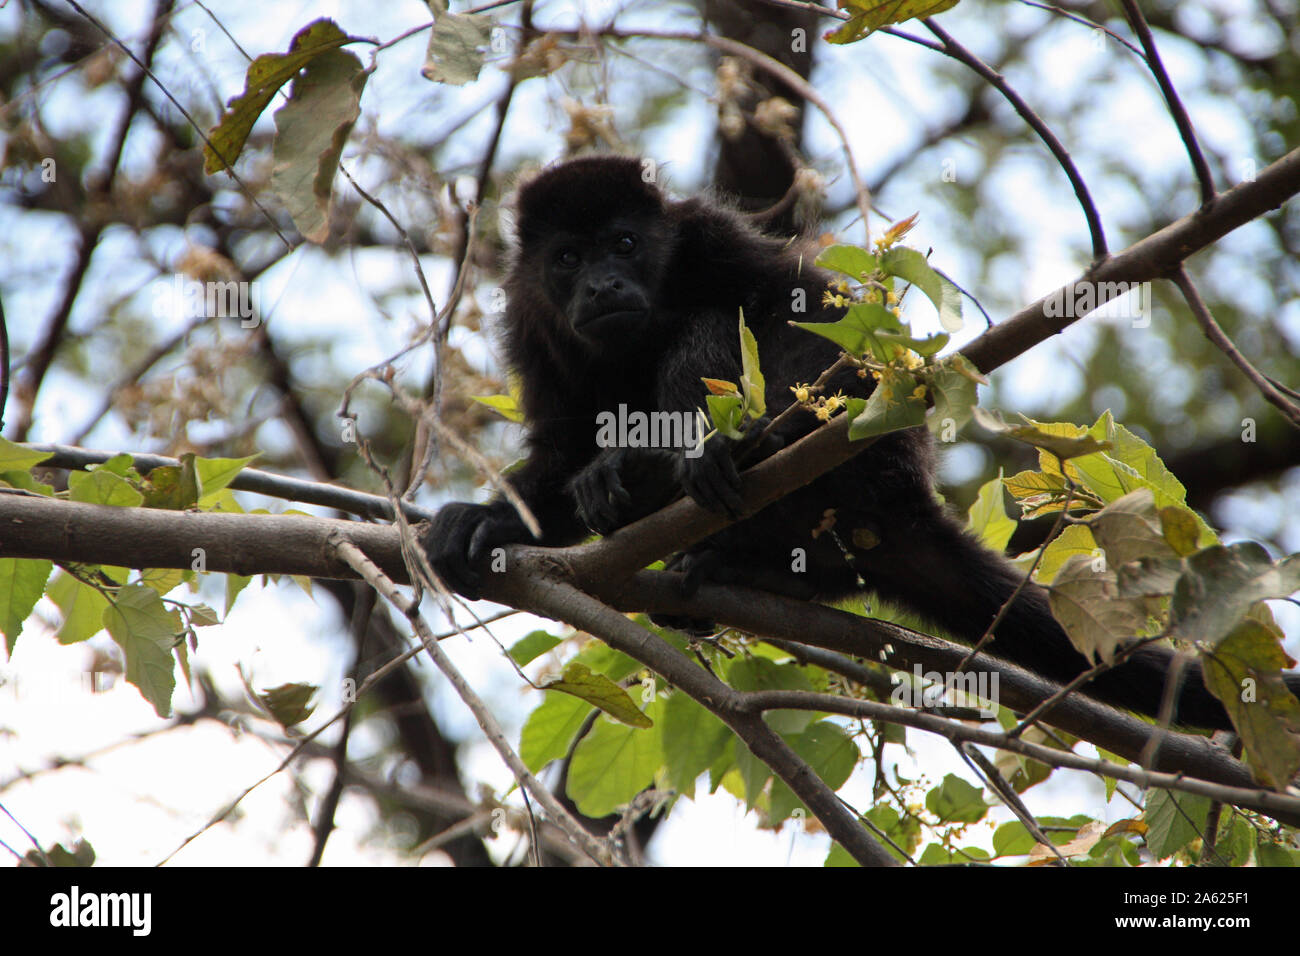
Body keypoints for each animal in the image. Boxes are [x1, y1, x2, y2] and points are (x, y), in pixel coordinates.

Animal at [428, 153, 1289, 728]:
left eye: (624, 244)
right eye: (569, 257)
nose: (603, 284)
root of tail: (904, 506)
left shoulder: (706, 234)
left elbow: (794, 302)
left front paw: (730, 445)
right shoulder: (527, 317)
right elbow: (558, 442)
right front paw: (484, 519)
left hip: (871, 473)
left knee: (715, 330)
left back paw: (689, 476)